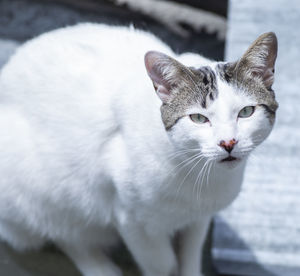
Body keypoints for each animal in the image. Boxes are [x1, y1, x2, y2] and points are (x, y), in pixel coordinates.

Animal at [0, 24, 278, 276]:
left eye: (246, 112)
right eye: (199, 118)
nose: (228, 143)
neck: (199, 175)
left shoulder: (199, 219)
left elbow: (189, 258)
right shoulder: (131, 220)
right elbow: (162, 264)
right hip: (40, 193)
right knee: (63, 232)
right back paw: (100, 268)